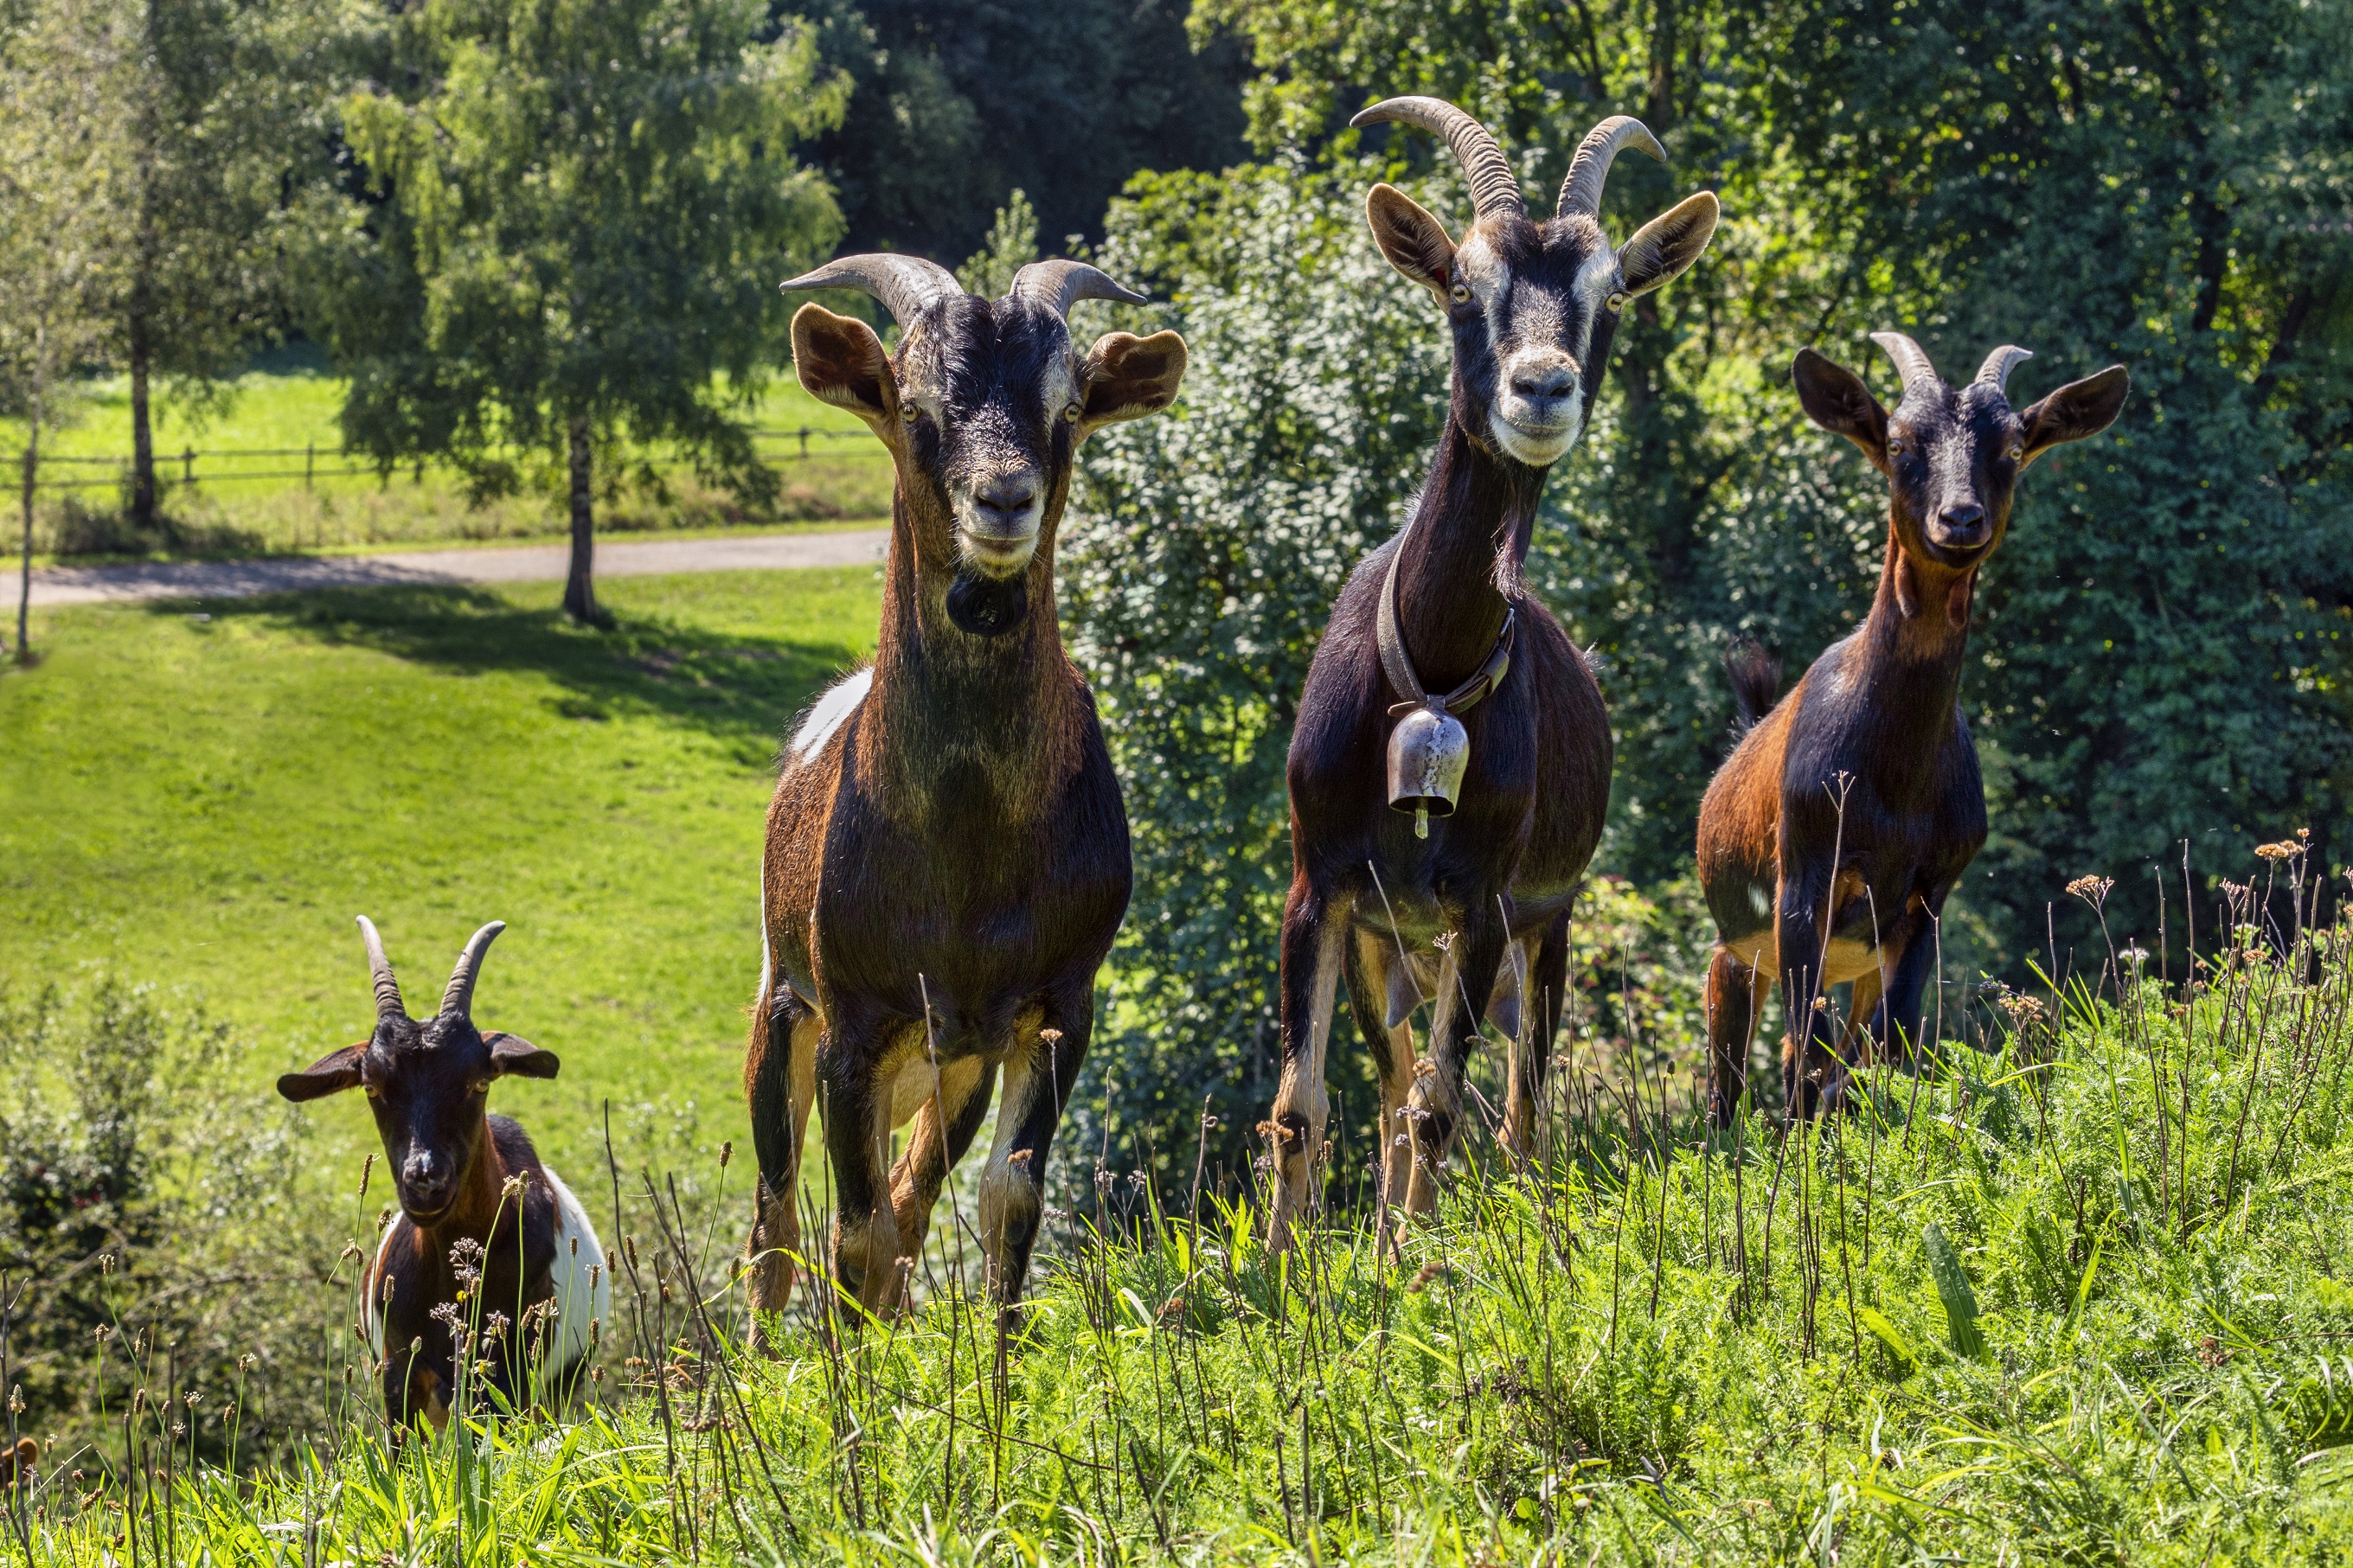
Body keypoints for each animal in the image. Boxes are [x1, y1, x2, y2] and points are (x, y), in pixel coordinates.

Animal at [276, 921, 612, 1438]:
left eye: (480, 1081)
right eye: (371, 1086)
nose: (425, 1181)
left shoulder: (502, 1377)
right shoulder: (399, 1373)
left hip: (552, 1388)